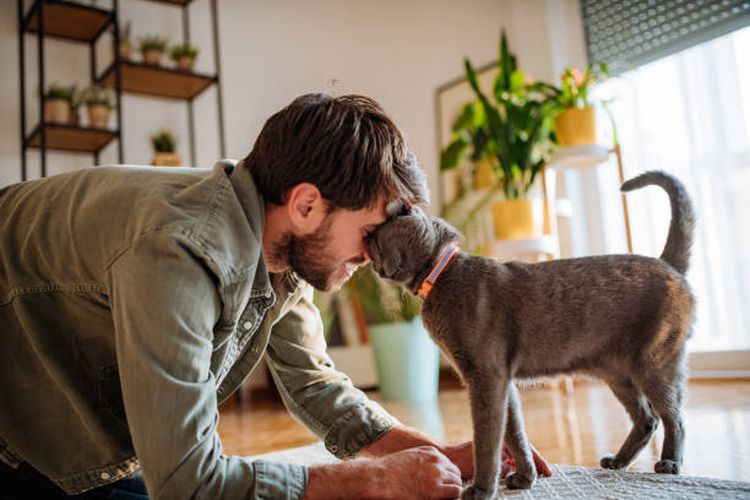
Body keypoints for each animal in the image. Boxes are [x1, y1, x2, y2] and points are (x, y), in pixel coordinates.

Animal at [370, 171, 700, 496]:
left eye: (374, 242)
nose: (373, 265)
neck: (440, 276)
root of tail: (667, 263)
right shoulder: (502, 380)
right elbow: (514, 432)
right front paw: (525, 477)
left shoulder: (486, 377)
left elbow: (487, 439)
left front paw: (482, 489)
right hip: (616, 372)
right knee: (648, 419)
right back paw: (618, 460)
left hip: (653, 362)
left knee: (674, 415)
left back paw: (670, 463)